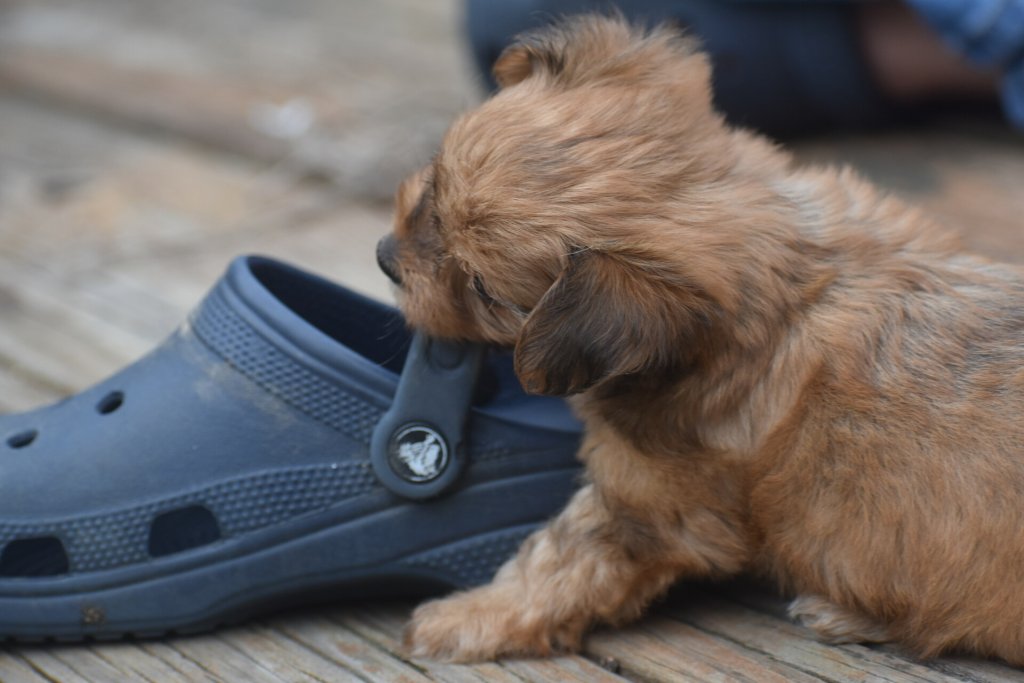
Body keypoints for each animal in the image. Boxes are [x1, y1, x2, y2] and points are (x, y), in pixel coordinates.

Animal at [380, 15, 1024, 663]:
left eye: (482, 290)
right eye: (433, 181)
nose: (386, 258)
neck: (790, 266)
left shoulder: (648, 502)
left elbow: (555, 562)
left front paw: (464, 618)